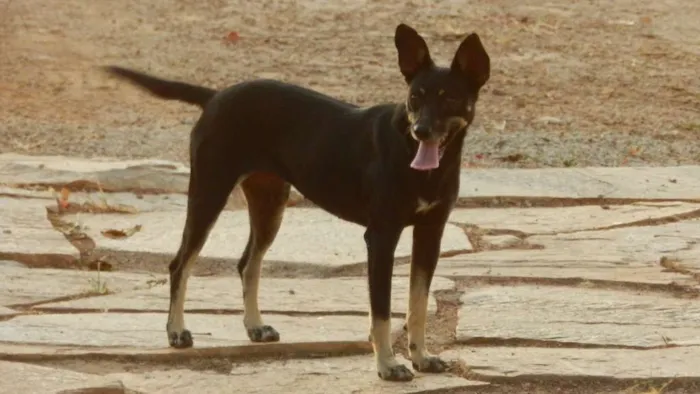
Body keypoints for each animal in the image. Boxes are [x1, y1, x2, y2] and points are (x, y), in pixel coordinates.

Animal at [104, 23, 490, 382]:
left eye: (449, 99)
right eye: (414, 97)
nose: (421, 130)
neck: (415, 158)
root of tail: (215, 96)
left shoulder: (430, 233)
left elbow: (418, 304)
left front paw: (422, 357)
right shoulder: (381, 237)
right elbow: (381, 311)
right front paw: (388, 365)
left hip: (269, 204)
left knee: (247, 263)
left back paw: (255, 327)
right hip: (208, 193)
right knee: (180, 264)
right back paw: (176, 331)